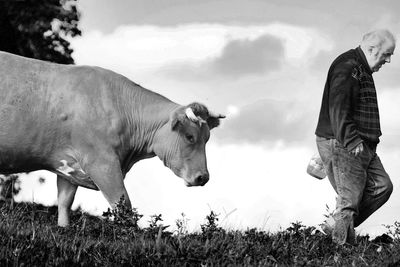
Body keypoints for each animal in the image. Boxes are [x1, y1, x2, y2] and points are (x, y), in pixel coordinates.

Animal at [0, 51, 225, 226]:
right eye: (189, 136)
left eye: (207, 138)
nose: (203, 177)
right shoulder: (102, 163)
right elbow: (124, 206)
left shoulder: (68, 166)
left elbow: (64, 203)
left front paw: (63, 228)